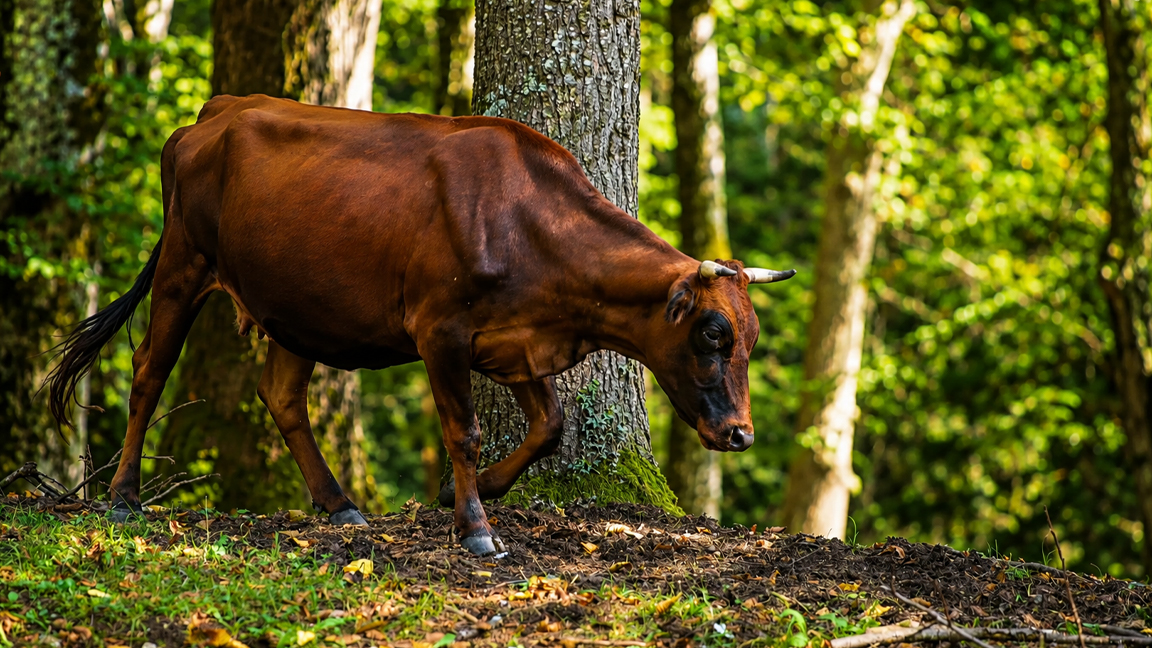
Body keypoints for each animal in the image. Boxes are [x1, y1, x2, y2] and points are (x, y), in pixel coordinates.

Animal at [45, 95, 795, 555]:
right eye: (713, 335)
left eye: (751, 339)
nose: (741, 434)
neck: (527, 223)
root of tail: (221, 108)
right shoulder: (442, 331)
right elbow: (462, 431)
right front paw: (475, 527)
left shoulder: (514, 340)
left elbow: (550, 426)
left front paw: (471, 491)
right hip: (182, 263)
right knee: (149, 370)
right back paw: (122, 497)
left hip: (297, 306)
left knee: (282, 396)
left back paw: (339, 503)